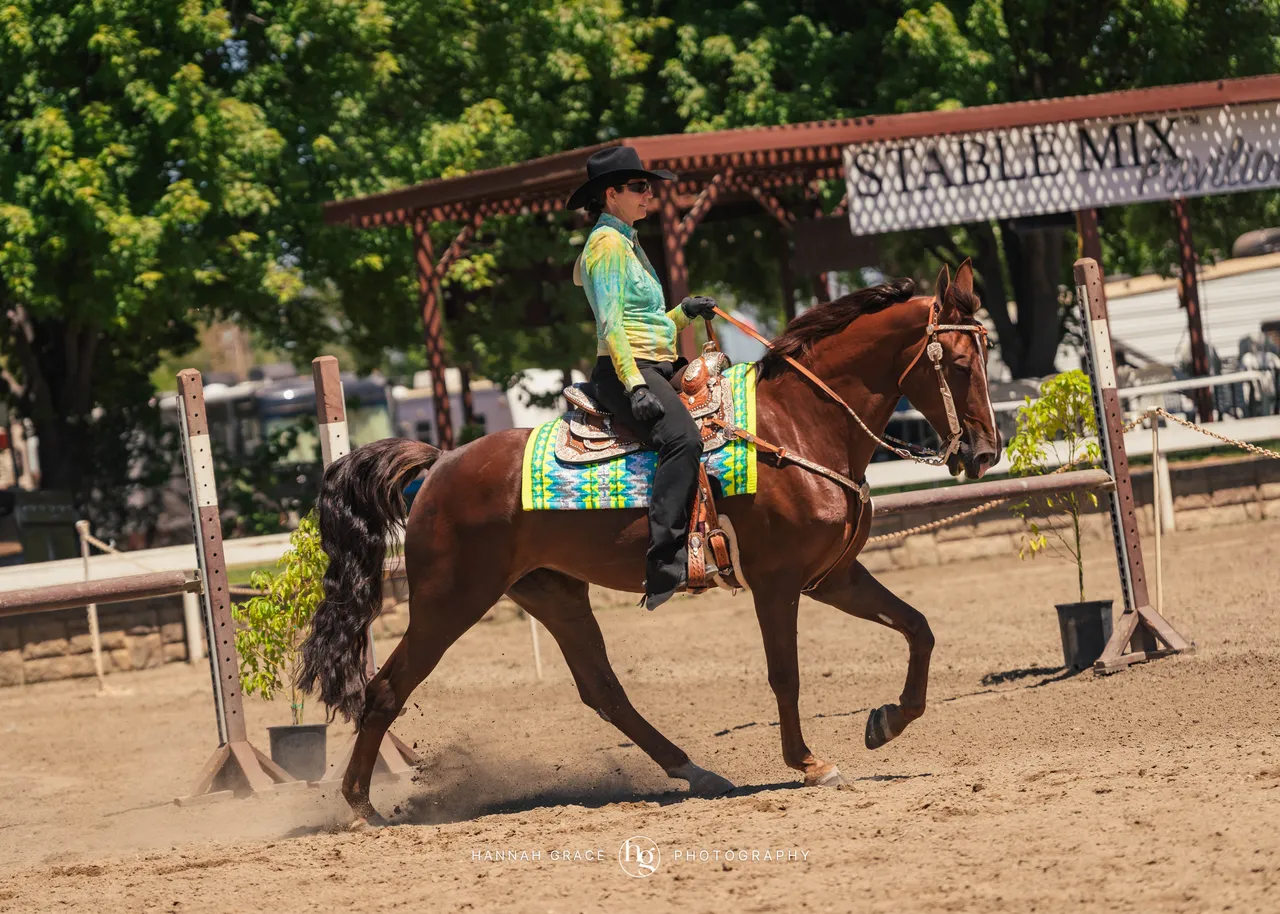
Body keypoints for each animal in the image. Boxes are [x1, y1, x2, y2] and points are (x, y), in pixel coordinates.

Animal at [299, 261, 1000, 826]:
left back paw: (696, 771)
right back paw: (360, 807)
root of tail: (438, 464)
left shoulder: (831, 576)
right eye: (961, 362)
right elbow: (786, 674)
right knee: (385, 690)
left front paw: (886, 721)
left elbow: (918, 627)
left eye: (987, 355)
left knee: (603, 692)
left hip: (553, 594)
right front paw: (808, 762)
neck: (798, 424)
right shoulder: (778, 583)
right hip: (450, 601)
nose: (985, 453)